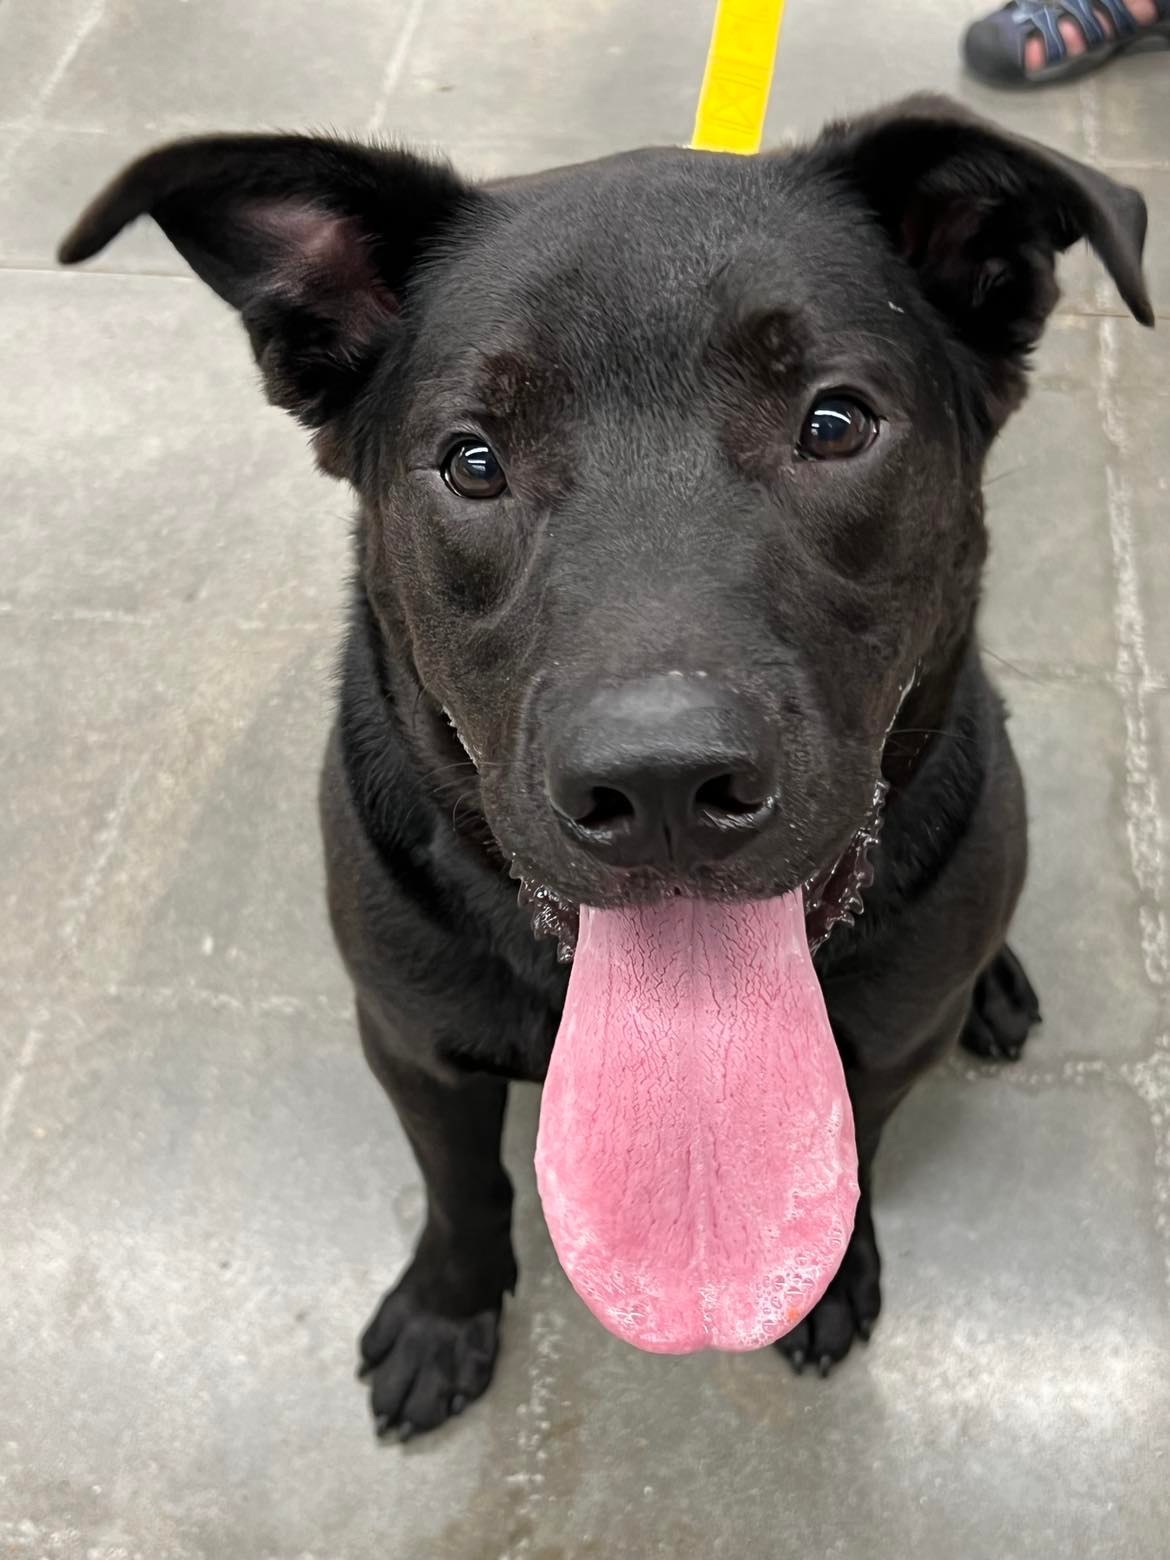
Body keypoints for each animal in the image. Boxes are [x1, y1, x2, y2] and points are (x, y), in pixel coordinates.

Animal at [59, 97, 1148, 1435]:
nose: (664, 786)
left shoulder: (890, 1047)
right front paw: (448, 1311)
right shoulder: (410, 1040)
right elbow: (460, 1188)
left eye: (834, 424)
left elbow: (857, 1149)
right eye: (472, 460)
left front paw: (832, 1274)